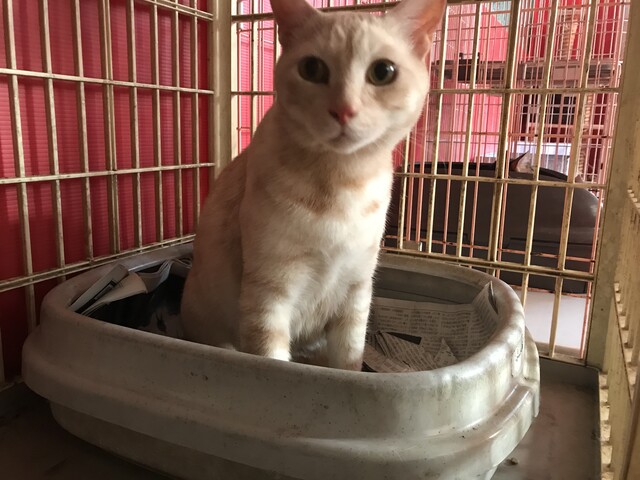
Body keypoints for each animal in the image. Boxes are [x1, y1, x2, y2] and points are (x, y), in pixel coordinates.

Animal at [180, 0, 446, 370]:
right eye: (311, 68)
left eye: (383, 72)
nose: (344, 110)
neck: (343, 181)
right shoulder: (268, 293)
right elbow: (273, 359)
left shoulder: (356, 295)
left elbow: (349, 363)